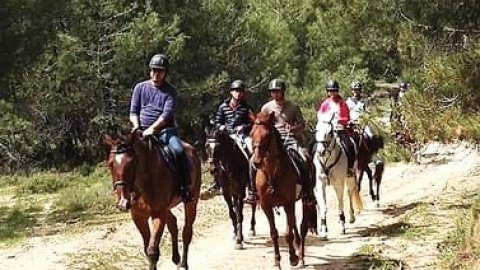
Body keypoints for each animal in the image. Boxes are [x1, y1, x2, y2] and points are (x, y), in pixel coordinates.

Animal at [103, 131, 201, 270]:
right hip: (166, 208)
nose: (123, 202)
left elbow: (152, 251)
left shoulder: (158, 214)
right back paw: (176, 258)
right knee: (173, 223)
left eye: (132, 163)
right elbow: (146, 249)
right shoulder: (138, 216)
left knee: (187, 232)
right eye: (110, 163)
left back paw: (183, 264)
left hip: (191, 202)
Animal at [249, 112, 316, 268]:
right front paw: (277, 261)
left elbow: (288, 234)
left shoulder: (288, 204)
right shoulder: (267, 206)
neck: (273, 173)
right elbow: (274, 233)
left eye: (267, 135)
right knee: (295, 226)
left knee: (302, 227)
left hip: (304, 201)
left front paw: (293, 258)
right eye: (251, 134)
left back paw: (301, 257)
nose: (256, 162)